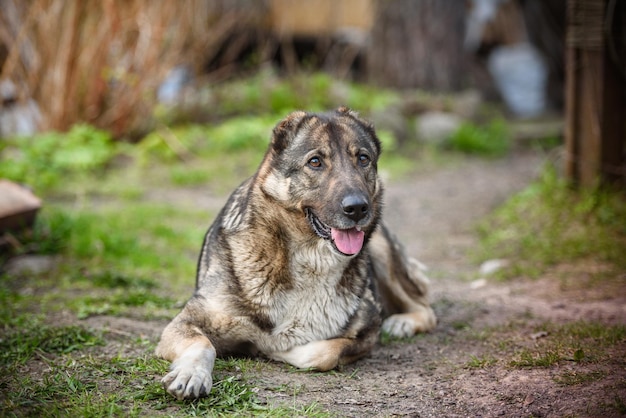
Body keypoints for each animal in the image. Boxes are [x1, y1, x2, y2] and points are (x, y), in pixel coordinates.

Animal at [156, 107, 434, 398]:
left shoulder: (368, 332)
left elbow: (322, 353)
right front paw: (191, 374)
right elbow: (202, 344)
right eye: (315, 162)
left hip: (382, 251)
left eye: (363, 158)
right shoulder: (186, 322)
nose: (358, 208)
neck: (309, 259)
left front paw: (274, 349)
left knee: (425, 308)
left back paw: (402, 323)